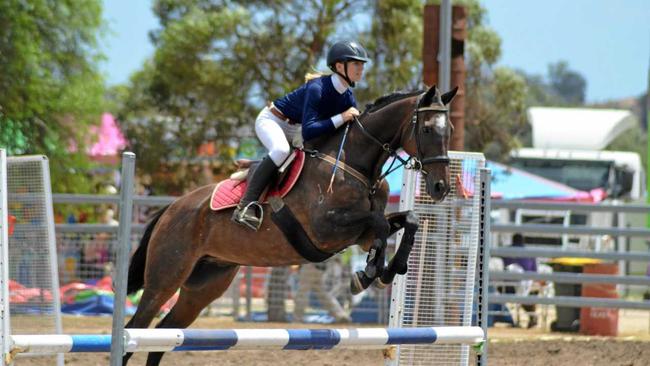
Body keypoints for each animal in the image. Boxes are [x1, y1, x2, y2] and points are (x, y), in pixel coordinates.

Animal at [123, 85, 456, 364]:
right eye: (427, 129)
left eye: (450, 130)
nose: (441, 188)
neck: (356, 164)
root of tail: (171, 208)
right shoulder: (326, 230)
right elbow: (381, 225)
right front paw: (370, 273)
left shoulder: (359, 236)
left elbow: (407, 221)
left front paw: (386, 269)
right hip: (165, 277)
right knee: (135, 330)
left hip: (205, 284)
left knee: (164, 334)